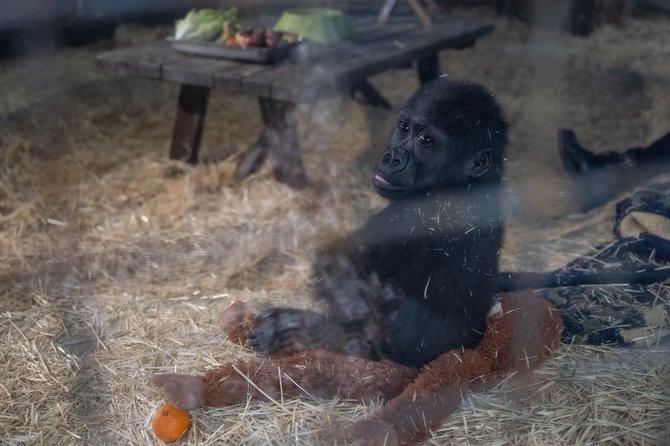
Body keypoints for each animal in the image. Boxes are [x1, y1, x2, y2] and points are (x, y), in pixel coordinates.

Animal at [244, 78, 506, 368]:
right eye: (404, 127)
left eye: (425, 140)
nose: (393, 157)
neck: (462, 182)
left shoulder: (408, 215)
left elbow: (340, 267)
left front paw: (291, 326)